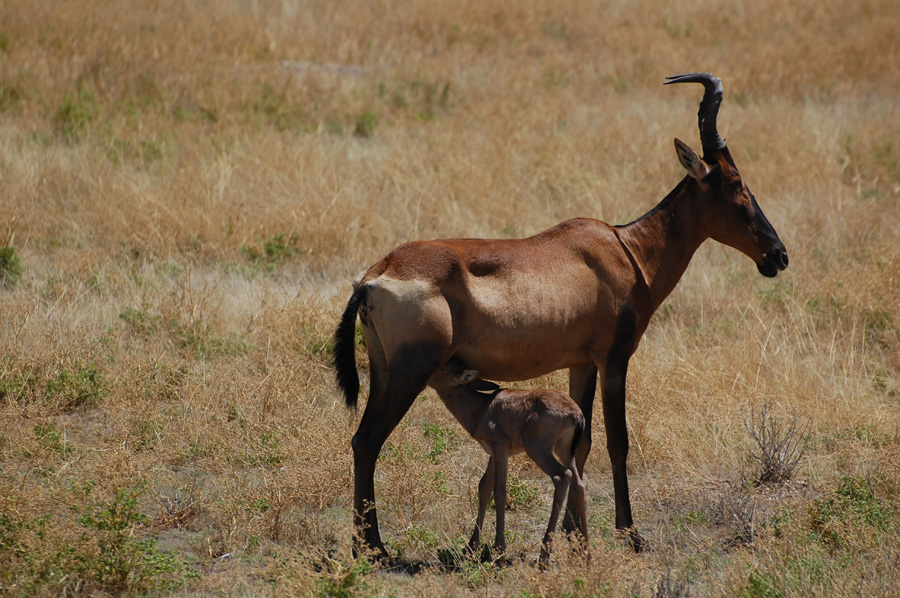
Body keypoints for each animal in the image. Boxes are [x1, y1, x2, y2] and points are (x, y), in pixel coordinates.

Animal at [332, 72, 788, 560]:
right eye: (736, 184)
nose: (778, 255)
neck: (623, 249)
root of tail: (374, 274)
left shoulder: (580, 364)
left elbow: (581, 445)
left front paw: (572, 534)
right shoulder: (614, 360)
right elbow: (618, 442)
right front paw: (630, 534)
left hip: (383, 369)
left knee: (361, 439)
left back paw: (368, 544)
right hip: (411, 372)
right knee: (369, 440)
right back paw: (374, 548)